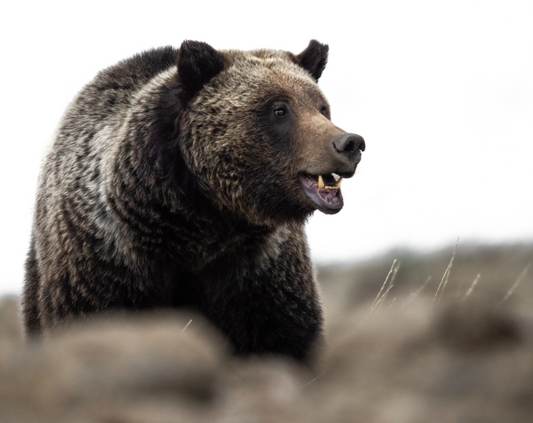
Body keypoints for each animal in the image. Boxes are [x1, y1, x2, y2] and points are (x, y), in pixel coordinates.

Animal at [23, 40, 366, 362]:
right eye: (279, 109)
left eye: (322, 107)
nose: (350, 143)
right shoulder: (107, 262)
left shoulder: (259, 270)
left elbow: (283, 336)